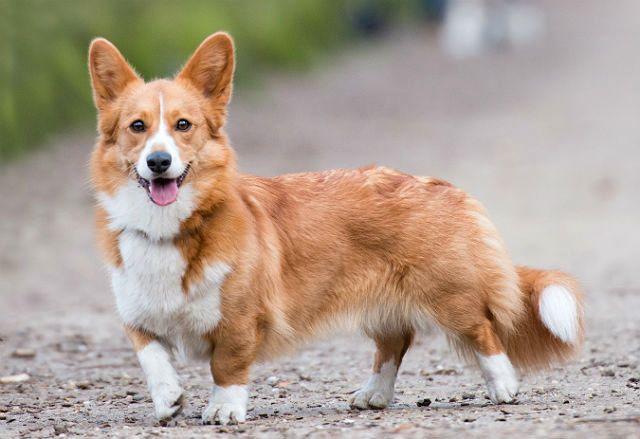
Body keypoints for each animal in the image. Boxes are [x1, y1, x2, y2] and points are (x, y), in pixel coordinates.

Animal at [87, 31, 584, 426]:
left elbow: (227, 366)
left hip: (449, 295)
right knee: (395, 342)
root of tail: (440, 186)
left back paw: (503, 386)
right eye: (137, 126)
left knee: (483, 330)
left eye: (183, 125)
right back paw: (374, 395)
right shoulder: (136, 315)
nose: (159, 162)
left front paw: (225, 409)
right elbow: (152, 357)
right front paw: (169, 399)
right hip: (383, 303)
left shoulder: (240, 318)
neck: (168, 229)